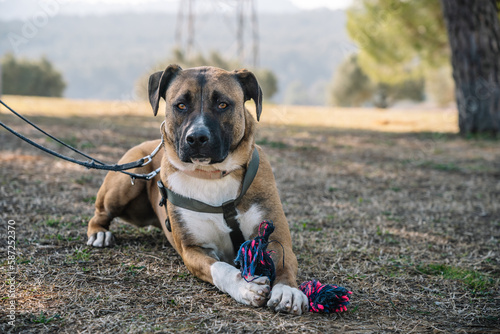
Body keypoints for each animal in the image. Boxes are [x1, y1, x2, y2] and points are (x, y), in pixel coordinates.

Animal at [86, 66, 308, 316]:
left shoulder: (275, 236)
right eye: (181, 105)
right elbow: (220, 268)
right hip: (129, 176)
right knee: (99, 214)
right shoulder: (193, 250)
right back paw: (100, 234)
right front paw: (244, 286)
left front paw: (287, 290)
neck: (211, 174)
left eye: (223, 104)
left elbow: (283, 261)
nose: (197, 138)